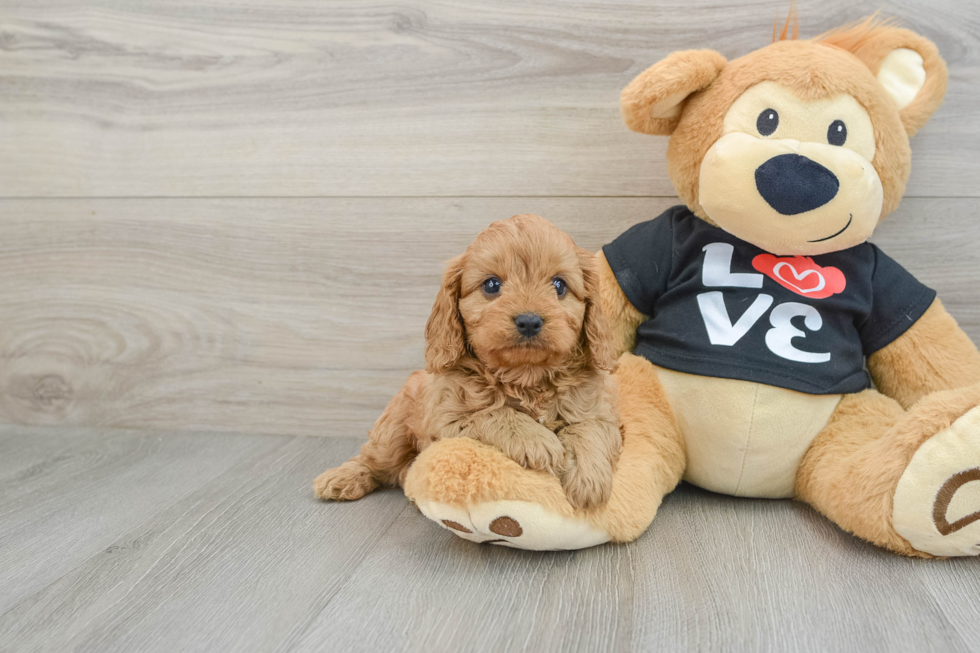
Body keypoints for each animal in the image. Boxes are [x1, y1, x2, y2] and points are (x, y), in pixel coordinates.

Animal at [314, 214, 620, 510]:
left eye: (559, 285)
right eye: (492, 285)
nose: (529, 321)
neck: (526, 376)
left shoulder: (598, 412)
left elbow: (589, 429)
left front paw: (588, 480)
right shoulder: (448, 420)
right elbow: (491, 413)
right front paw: (537, 441)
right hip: (392, 430)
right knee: (372, 459)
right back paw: (341, 478)